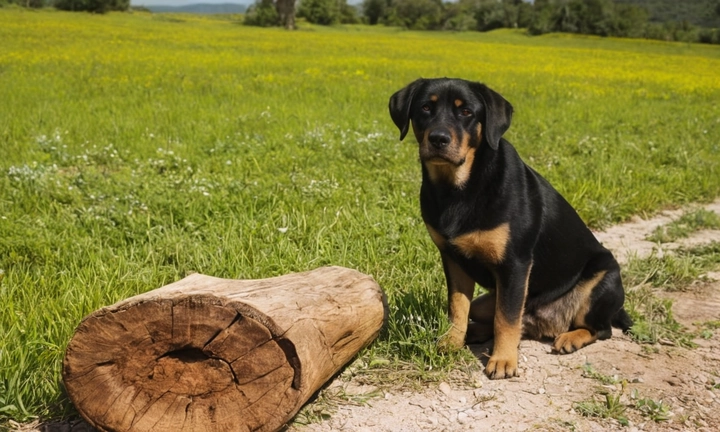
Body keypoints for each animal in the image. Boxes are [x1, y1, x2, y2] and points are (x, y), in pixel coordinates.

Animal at [388, 77, 632, 378]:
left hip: (603, 279)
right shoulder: (453, 260)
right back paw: (474, 333)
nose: (438, 138)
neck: (459, 188)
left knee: (601, 328)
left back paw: (570, 338)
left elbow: (506, 318)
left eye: (466, 112)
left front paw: (503, 361)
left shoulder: (515, 264)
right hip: (486, 301)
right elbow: (457, 307)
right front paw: (451, 341)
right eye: (425, 107)